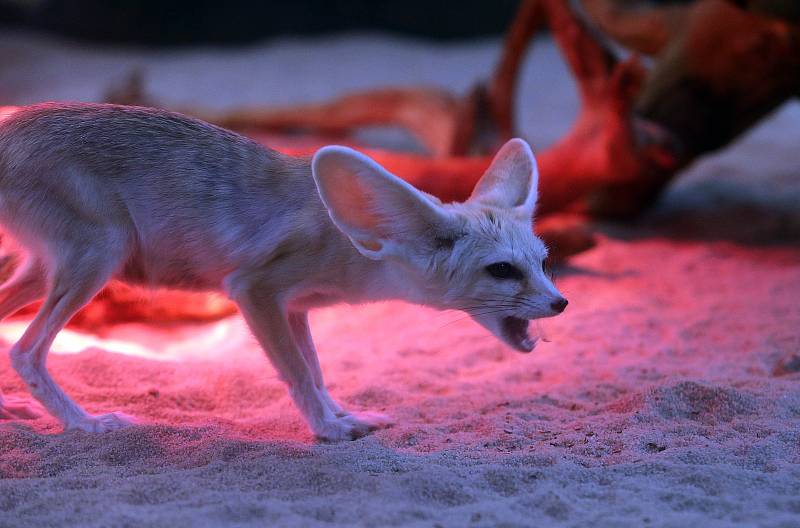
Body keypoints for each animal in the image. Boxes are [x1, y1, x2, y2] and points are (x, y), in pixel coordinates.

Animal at [0, 103, 564, 442]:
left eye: (542, 262)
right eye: (501, 271)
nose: (561, 303)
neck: (351, 239)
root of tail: (13, 119)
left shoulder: (294, 307)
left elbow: (315, 370)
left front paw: (342, 415)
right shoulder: (254, 289)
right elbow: (296, 371)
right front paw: (328, 431)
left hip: (47, 270)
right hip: (102, 255)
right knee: (25, 351)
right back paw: (86, 424)